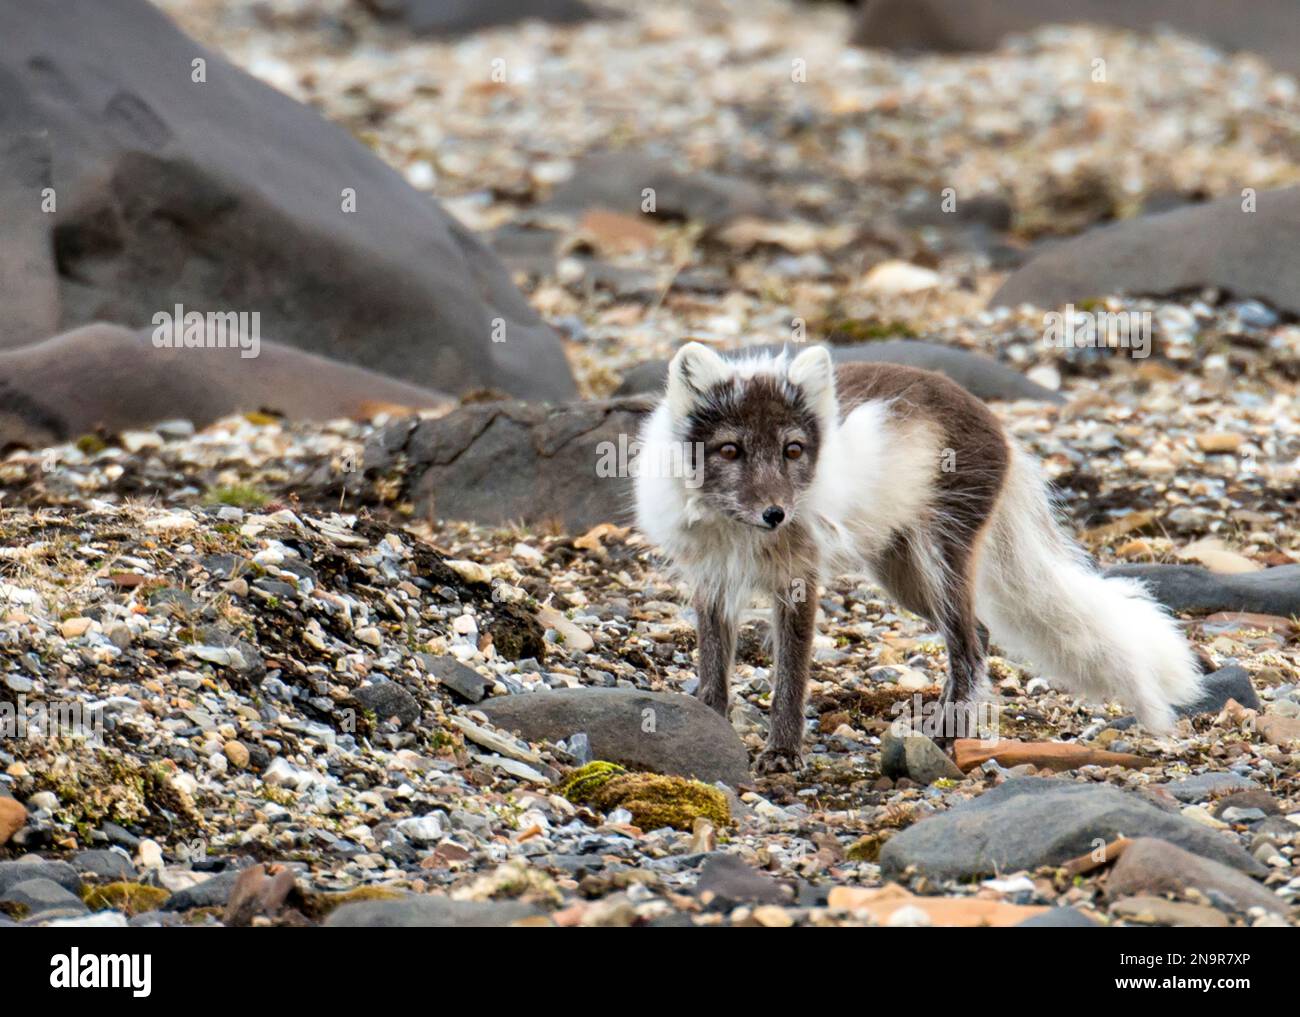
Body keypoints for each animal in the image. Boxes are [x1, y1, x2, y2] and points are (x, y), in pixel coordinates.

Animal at [634, 342, 1203, 773]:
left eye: (793, 450)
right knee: (980, 634)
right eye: (730, 450)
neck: (741, 534)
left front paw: (783, 753)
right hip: (902, 576)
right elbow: (713, 663)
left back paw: (950, 734)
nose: (776, 513)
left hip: (940, 557)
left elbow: (790, 679)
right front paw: (708, 724)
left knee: (969, 646)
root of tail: (998, 424)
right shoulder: (710, 578)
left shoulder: (799, 580)